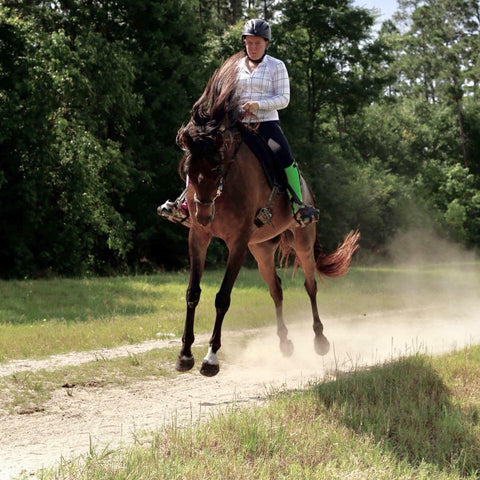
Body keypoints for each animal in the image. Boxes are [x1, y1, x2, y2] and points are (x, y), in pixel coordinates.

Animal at [172, 51, 356, 376]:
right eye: (188, 170)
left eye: (217, 167)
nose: (204, 215)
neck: (226, 187)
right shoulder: (199, 237)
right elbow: (192, 293)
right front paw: (185, 354)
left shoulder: (237, 242)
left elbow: (222, 297)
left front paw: (211, 358)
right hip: (260, 249)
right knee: (276, 289)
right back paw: (285, 344)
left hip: (301, 241)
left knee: (310, 285)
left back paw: (320, 340)